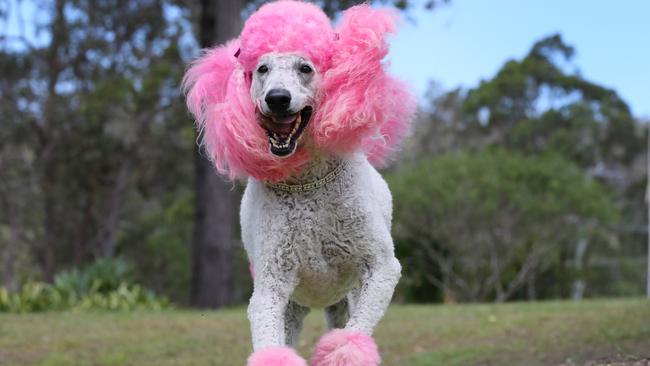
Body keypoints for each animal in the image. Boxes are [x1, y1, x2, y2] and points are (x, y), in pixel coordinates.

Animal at [182, 2, 416, 364]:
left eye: (305, 67)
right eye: (262, 69)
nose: (277, 98)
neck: (308, 183)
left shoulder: (381, 269)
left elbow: (352, 336)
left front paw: (343, 352)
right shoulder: (271, 285)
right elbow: (268, 335)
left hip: (344, 299)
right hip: (295, 308)